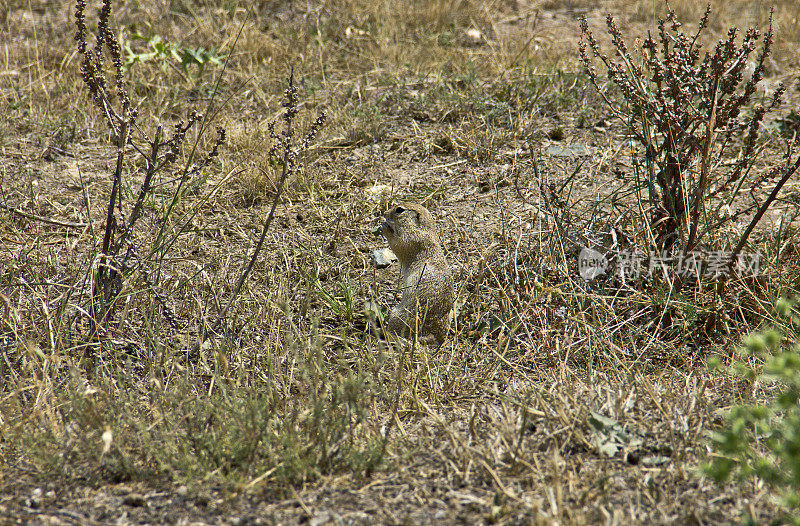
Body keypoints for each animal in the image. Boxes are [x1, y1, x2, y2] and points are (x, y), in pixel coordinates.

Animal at [374, 202, 454, 346]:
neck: (423, 228)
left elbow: (398, 243)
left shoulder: (410, 239)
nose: (384, 213)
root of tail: (433, 336)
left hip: (398, 315)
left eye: (399, 210)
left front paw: (383, 225)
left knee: (393, 335)